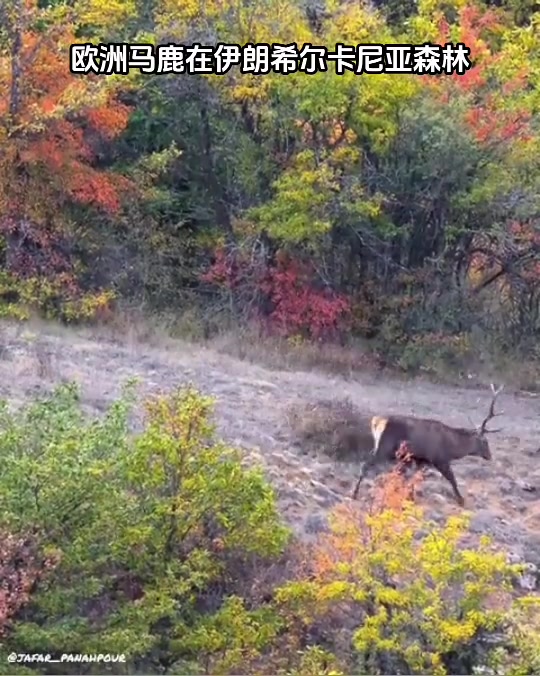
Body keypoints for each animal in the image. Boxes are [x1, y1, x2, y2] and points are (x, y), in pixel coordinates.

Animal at [351, 384, 505, 506]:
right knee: (365, 465)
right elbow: (452, 479)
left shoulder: (421, 459)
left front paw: (410, 497)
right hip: (384, 447)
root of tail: (376, 421)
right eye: (485, 441)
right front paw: (461, 500)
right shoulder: (439, 459)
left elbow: (414, 478)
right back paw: (354, 493)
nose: (490, 456)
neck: (452, 447)